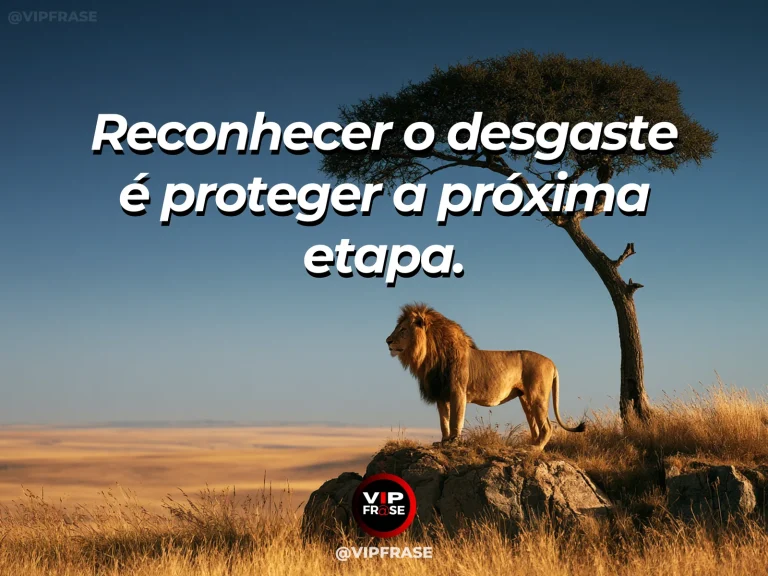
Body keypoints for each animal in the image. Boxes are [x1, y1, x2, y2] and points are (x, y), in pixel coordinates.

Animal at [385, 303, 585, 450]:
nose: (387, 341)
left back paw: (534, 449)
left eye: (403, 330)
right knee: (536, 427)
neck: (430, 356)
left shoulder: (458, 391)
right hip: (525, 399)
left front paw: (453, 441)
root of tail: (552, 362)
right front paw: (443, 442)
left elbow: (455, 418)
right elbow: (444, 421)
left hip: (538, 396)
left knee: (547, 427)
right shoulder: (441, 394)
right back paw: (530, 445)